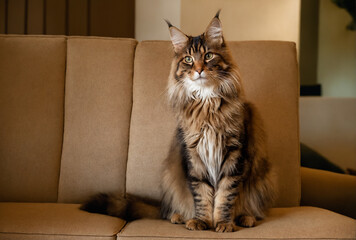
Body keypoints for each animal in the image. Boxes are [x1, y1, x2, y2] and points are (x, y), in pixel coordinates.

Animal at [81, 10, 276, 232]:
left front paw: (223, 223)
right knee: (172, 209)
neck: (207, 105)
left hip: (261, 176)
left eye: (208, 56)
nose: (199, 69)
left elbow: (225, 196)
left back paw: (246, 218)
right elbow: (202, 194)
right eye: (189, 59)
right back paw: (179, 217)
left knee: (250, 206)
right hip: (171, 177)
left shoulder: (234, 155)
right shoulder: (194, 155)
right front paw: (202, 221)